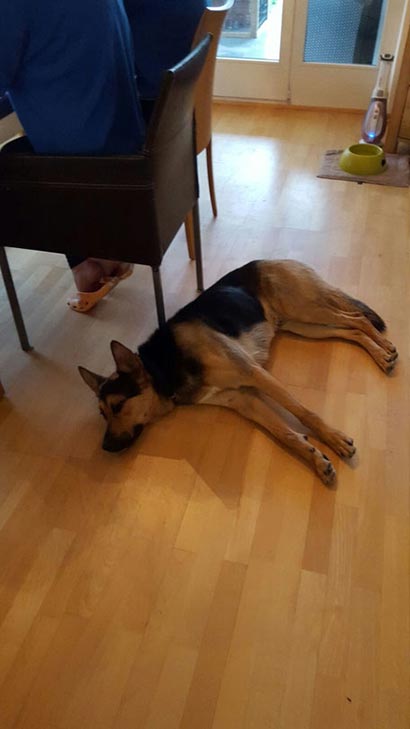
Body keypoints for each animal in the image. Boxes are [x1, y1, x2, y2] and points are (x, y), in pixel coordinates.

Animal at [79, 260, 397, 485]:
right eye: (102, 414)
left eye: (118, 406)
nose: (105, 447)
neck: (164, 366)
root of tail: (271, 259)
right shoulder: (243, 401)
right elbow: (287, 434)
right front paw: (317, 460)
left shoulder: (255, 374)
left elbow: (304, 412)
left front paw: (333, 438)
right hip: (304, 325)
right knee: (351, 330)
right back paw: (380, 354)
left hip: (307, 310)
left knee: (357, 318)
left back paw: (384, 349)